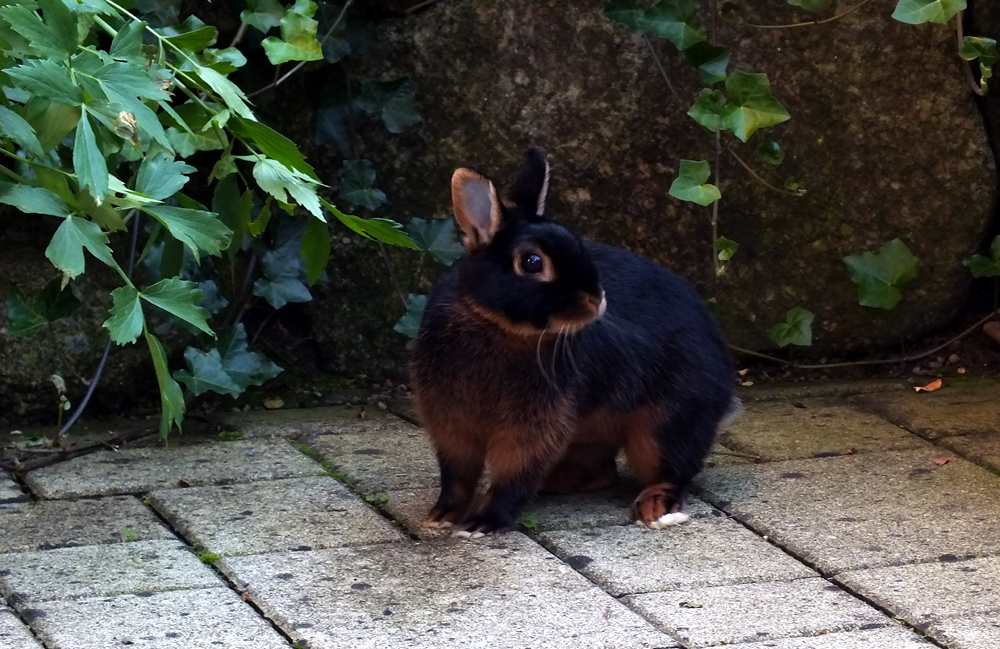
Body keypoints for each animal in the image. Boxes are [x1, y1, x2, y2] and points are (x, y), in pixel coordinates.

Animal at [408, 148, 744, 536]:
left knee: (670, 470)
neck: (496, 324)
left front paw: (483, 522)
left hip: (666, 423)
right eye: (532, 262)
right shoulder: (451, 422)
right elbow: (457, 475)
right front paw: (442, 516)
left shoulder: (534, 425)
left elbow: (514, 473)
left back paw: (655, 507)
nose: (598, 300)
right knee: (601, 471)